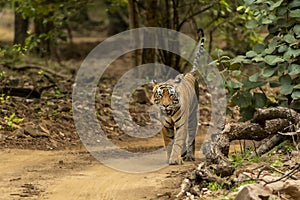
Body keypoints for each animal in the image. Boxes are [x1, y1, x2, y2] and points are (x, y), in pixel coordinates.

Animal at [152, 28, 204, 165]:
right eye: (160, 95)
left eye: (171, 95)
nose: (165, 105)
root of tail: (189, 73)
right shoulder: (165, 125)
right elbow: (169, 141)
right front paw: (171, 158)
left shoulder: (182, 123)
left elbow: (179, 140)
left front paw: (175, 159)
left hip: (192, 117)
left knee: (190, 137)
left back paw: (189, 156)